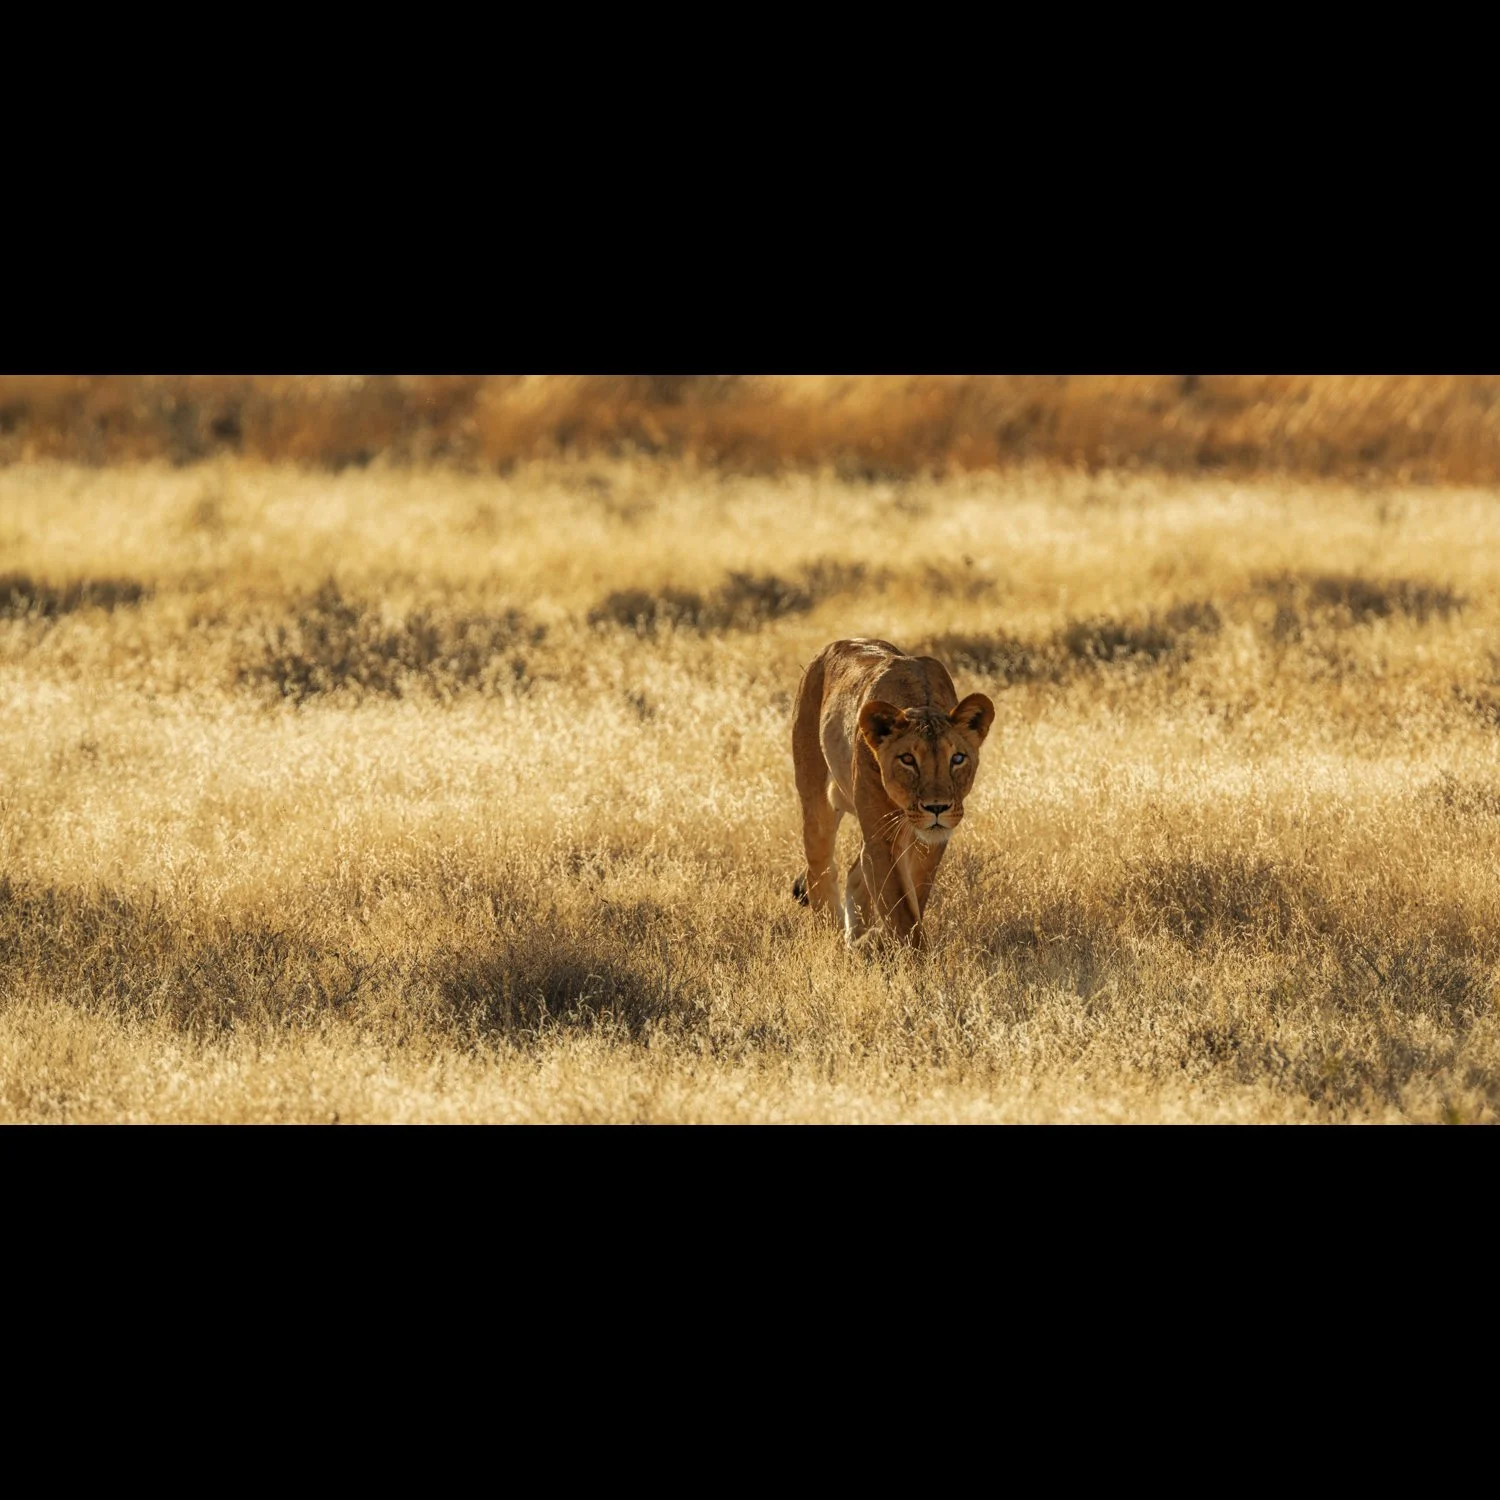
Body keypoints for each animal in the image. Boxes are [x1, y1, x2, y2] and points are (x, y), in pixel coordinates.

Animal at [790, 638, 995, 949]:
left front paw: (882, 941)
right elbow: (901, 909)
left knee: (855, 872)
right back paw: (832, 938)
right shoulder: (882, 835)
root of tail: (828, 649)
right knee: (820, 871)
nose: (937, 808)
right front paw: (916, 957)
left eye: (958, 758)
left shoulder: (931, 842)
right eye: (908, 759)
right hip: (815, 801)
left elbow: (914, 895)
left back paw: (857, 939)